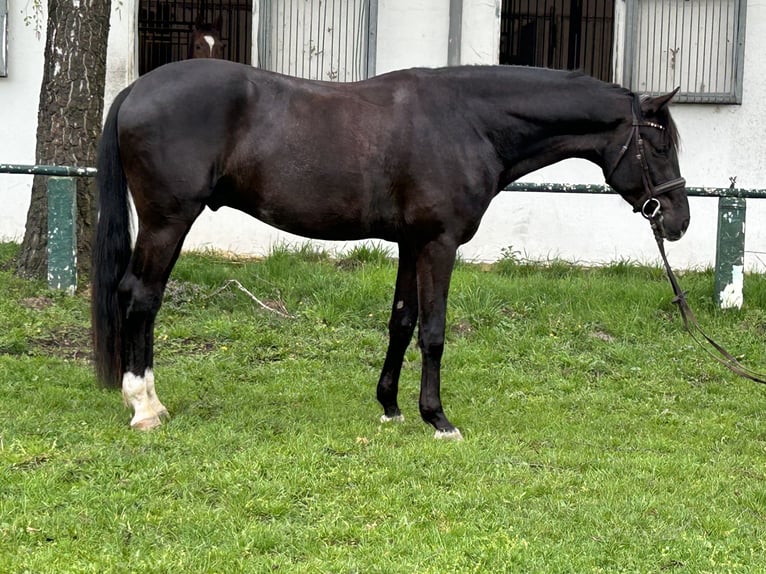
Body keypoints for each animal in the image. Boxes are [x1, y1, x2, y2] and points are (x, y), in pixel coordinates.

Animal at [93, 60, 692, 438]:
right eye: (659, 142)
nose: (679, 221)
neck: (467, 122)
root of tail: (135, 91)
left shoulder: (411, 243)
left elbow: (401, 323)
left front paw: (391, 407)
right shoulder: (439, 244)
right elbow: (434, 331)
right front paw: (438, 419)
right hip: (168, 222)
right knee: (141, 297)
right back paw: (145, 406)